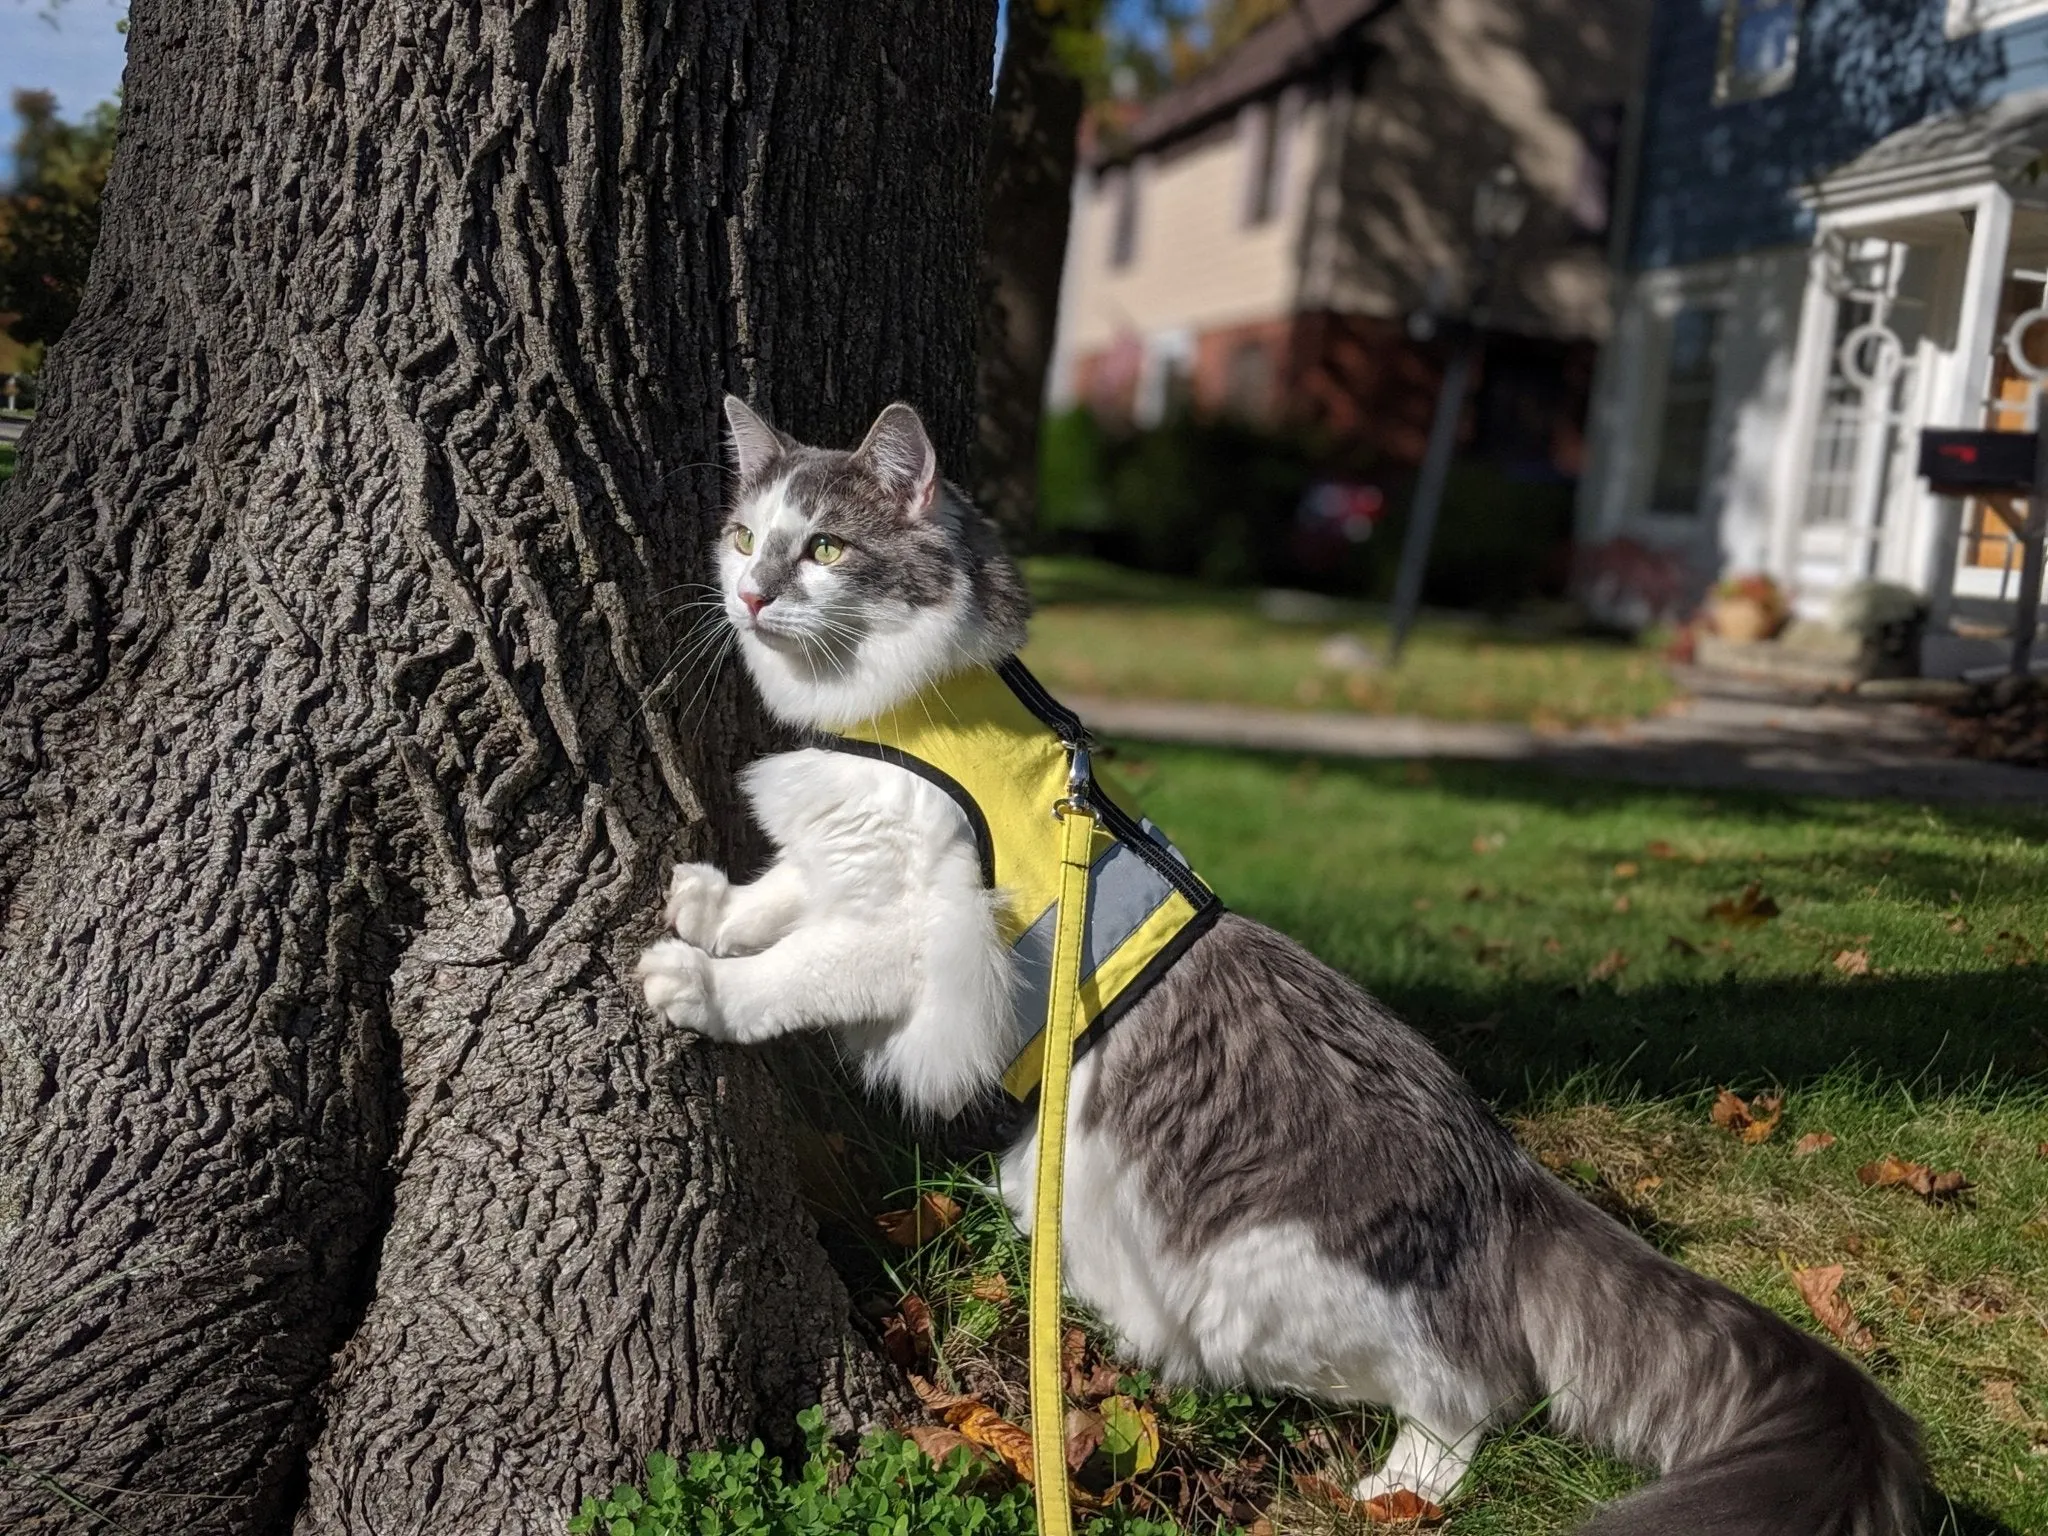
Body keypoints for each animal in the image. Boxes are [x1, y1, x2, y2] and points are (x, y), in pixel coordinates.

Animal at [634, 399, 1916, 1536]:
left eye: (825, 549)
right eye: (743, 537)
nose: (750, 593)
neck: (904, 717)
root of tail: (1508, 1175)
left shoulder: (929, 936)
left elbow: (802, 969)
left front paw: (696, 983)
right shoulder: (842, 860)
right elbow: (786, 894)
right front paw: (709, 905)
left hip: (1264, 1289)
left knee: (1476, 1393)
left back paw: (1391, 1486)